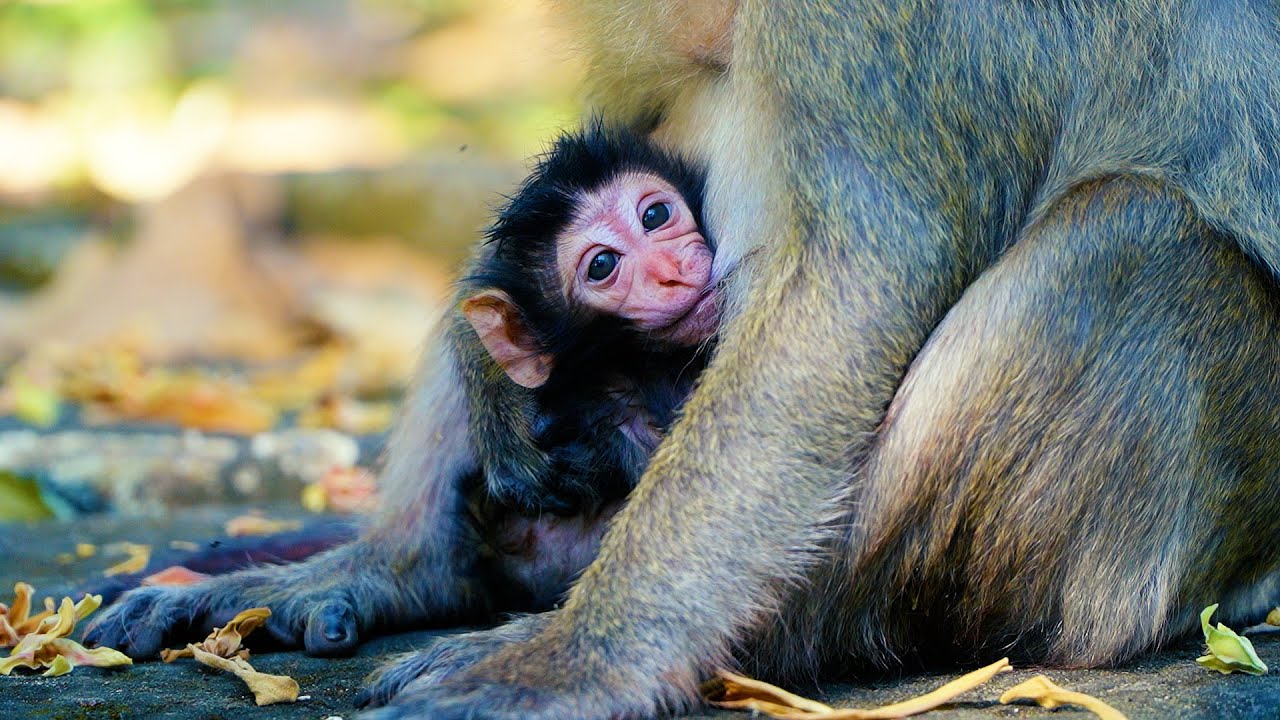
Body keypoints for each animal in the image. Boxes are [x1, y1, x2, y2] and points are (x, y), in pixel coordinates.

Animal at [89, 2, 1280, 717]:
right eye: (613, 253)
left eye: (661, 222)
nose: (666, 269)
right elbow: (618, 127)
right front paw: (489, 359)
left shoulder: (887, 29)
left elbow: (849, 285)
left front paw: (579, 659)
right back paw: (393, 567)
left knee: (1134, 233)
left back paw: (745, 635)